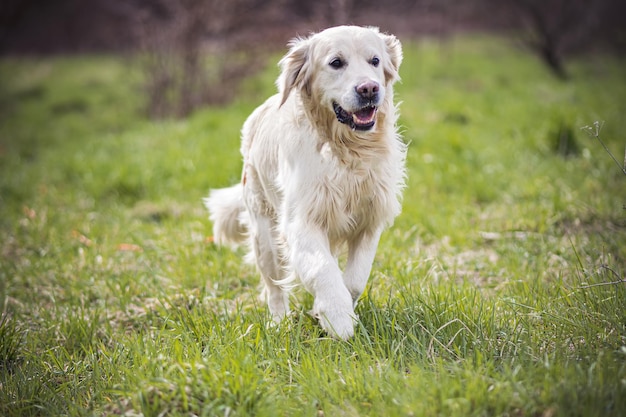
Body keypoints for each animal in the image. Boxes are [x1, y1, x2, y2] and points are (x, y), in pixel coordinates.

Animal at [206, 25, 404, 338]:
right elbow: (322, 270)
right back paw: (279, 324)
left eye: (375, 61)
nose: (369, 89)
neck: (346, 150)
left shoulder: (369, 221)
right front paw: (338, 320)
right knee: (274, 288)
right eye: (336, 62)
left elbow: (354, 278)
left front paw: (331, 311)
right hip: (265, 236)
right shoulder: (301, 223)